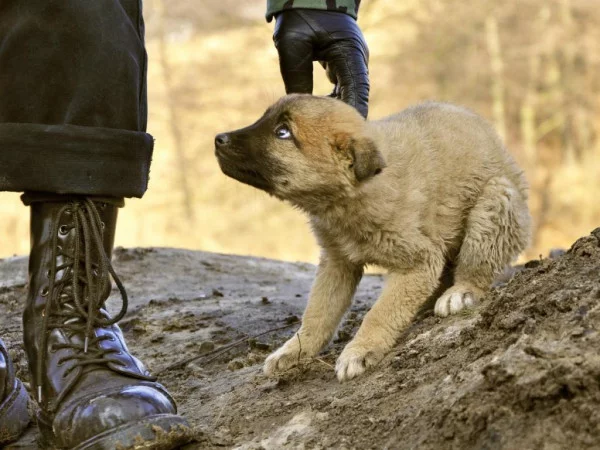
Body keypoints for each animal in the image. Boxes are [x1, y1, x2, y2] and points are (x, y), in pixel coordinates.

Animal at [214, 94, 528, 380]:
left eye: (283, 132)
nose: (218, 139)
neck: (350, 195)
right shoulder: (336, 264)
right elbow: (317, 313)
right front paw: (294, 350)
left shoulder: (417, 261)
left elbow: (379, 313)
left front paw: (359, 351)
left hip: (496, 200)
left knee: (477, 265)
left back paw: (459, 294)